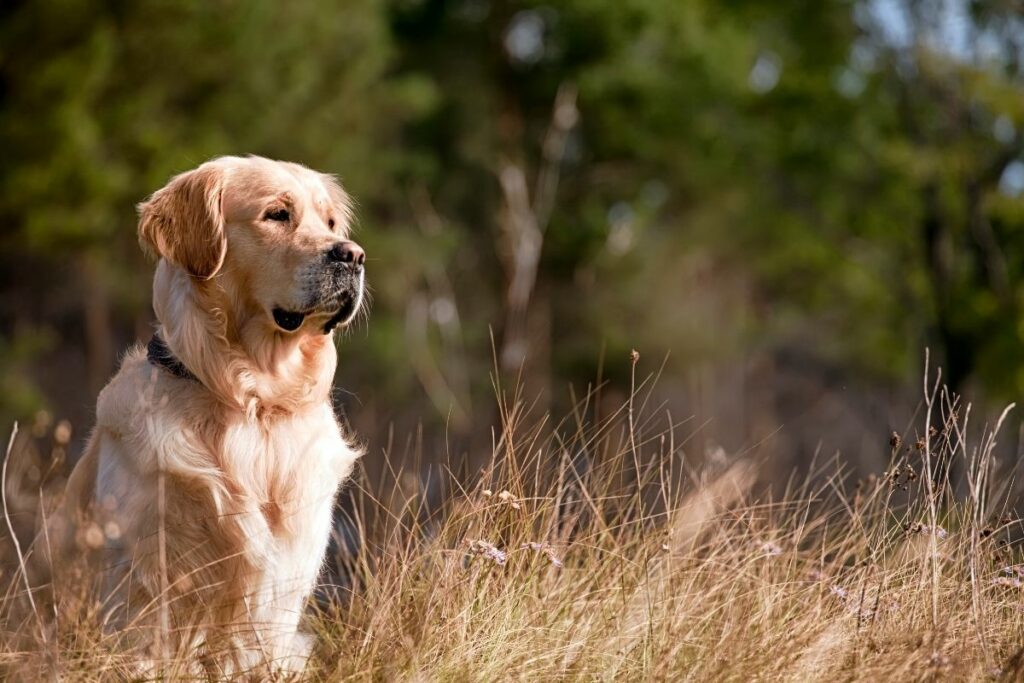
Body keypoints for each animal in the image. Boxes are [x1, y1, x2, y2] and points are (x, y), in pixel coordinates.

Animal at [29, 157, 368, 675]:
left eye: (331, 223)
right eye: (277, 214)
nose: (352, 255)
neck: (252, 401)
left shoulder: (287, 577)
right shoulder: (146, 576)